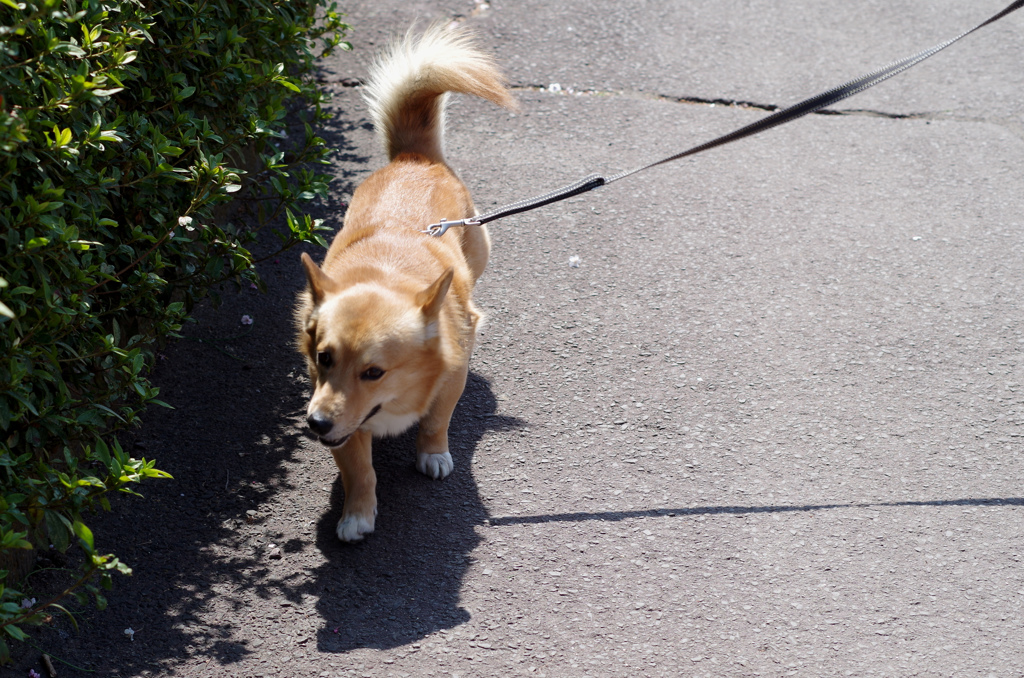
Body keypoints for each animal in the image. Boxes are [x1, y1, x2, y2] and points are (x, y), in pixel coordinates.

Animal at [296, 23, 520, 540]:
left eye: (374, 372)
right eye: (324, 358)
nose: (315, 424)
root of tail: (414, 157)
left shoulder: (450, 379)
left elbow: (436, 420)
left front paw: (432, 454)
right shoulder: (345, 424)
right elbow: (360, 471)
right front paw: (357, 514)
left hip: (478, 253)